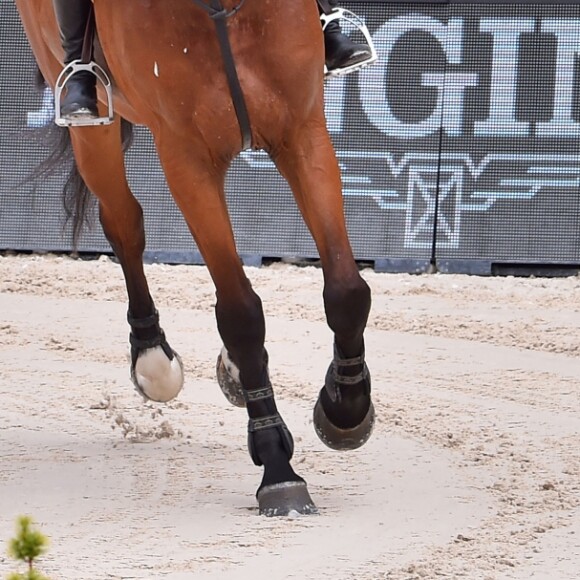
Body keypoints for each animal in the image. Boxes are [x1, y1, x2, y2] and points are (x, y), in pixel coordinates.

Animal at [15, 0, 376, 516]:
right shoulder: (186, 158)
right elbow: (241, 312)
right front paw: (278, 470)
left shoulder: (302, 132)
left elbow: (346, 291)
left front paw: (344, 411)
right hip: (93, 127)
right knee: (123, 223)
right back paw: (153, 357)